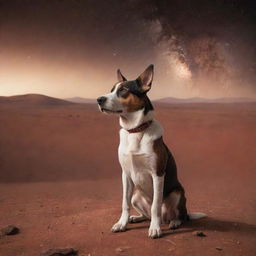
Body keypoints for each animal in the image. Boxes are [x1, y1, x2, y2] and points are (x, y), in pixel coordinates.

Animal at [96, 64, 206, 238]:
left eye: (123, 90)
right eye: (111, 90)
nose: (99, 99)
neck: (135, 130)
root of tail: (166, 218)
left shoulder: (157, 174)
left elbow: (155, 206)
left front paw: (155, 228)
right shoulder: (125, 174)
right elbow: (124, 203)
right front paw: (122, 223)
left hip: (177, 193)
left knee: (178, 215)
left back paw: (173, 222)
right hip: (136, 196)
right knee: (146, 214)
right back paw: (137, 218)